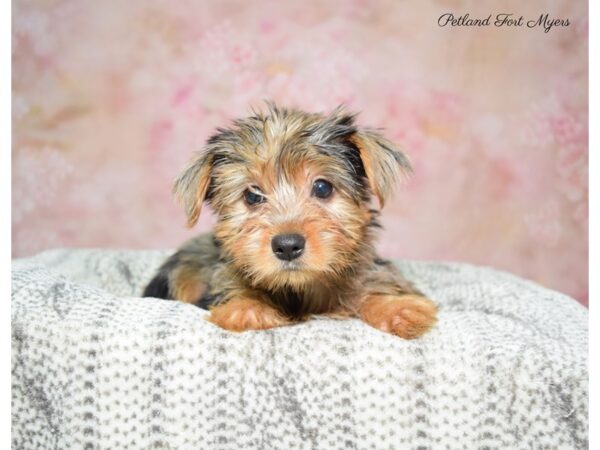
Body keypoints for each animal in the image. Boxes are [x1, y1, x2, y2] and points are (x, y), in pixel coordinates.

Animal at [143, 103, 438, 340]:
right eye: (252, 195)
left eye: (322, 187)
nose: (287, 245)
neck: (298, 289)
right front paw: (248, 309)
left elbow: (375, 284)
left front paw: (398, 308)